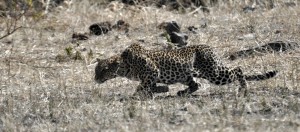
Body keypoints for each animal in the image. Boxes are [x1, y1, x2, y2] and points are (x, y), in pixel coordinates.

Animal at [95, 43, 278, 98]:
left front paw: (136, 95)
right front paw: (162, 89)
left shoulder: (152, 72)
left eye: (103, 70)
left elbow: (142, 86)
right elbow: (148, 86)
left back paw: (243, 89)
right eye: (96, 70)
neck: (125, 65)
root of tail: (210, 48)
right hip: (187, 74)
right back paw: (181, 93)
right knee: (196, 85)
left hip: (214, 73)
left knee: (238, 69)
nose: (95, 79)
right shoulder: (151, 76)